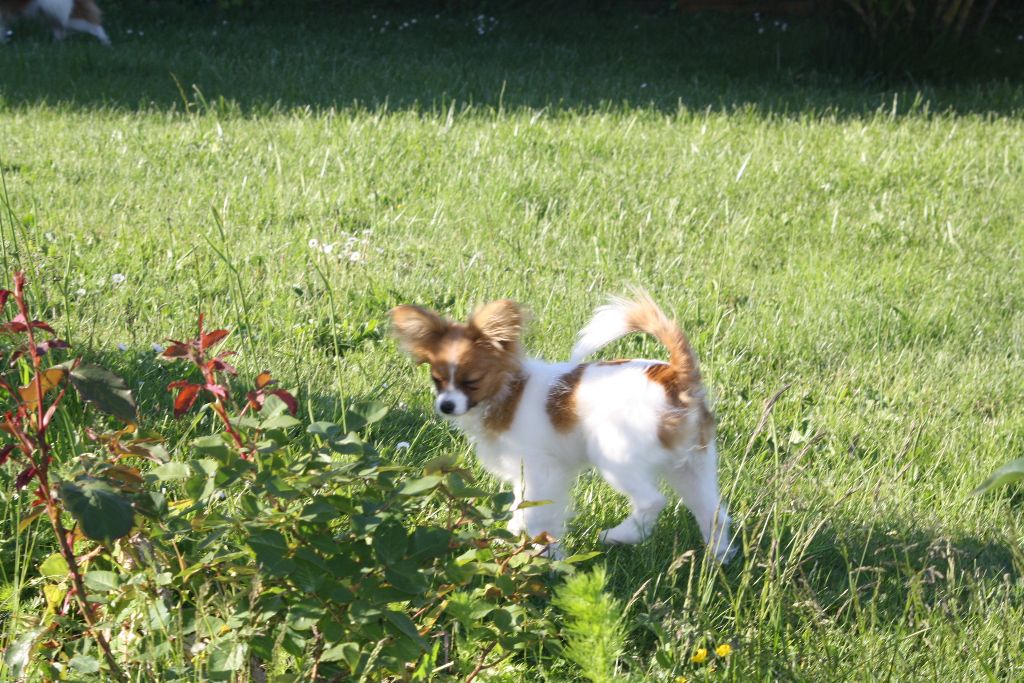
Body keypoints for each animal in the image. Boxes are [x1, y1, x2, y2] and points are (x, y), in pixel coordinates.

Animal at [389, 290, 737, 565]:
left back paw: (618, 536)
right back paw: (717, 559)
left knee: (652, 501)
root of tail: (676, 376)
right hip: (693, 465)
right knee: (714, 513)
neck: (508, 393)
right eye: (437, 379)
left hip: (615, 456)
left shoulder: (541, 470)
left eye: (471, 381)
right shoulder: (529, 475)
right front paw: (512, 539)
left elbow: (536, 514)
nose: (446, 406)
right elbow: (522, 508)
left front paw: (543, 556)